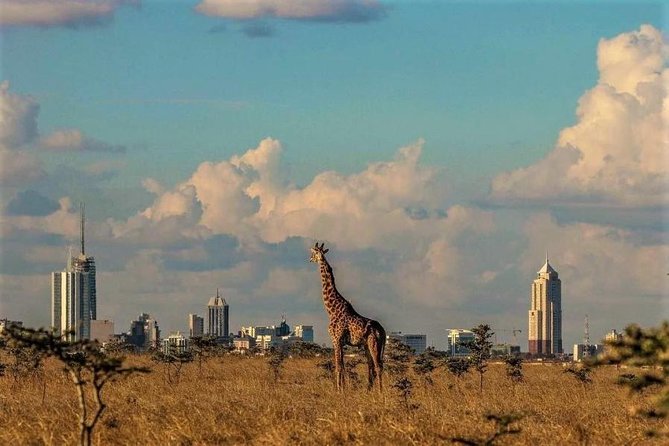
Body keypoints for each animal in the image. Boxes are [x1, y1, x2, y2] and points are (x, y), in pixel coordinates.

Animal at [309, 242, 386, 391]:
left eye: (314, 252)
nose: (310, 259)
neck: (332, 310)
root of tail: (383, 331)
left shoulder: (336, 339)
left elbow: (338, 367)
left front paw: (339, 391)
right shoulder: (341, 342)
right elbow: (343, 367)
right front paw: (343, 389)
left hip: (373, 343)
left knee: (378, 366)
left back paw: (380, 392)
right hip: (367, 345)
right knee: (371, 367)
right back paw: (368, 390)